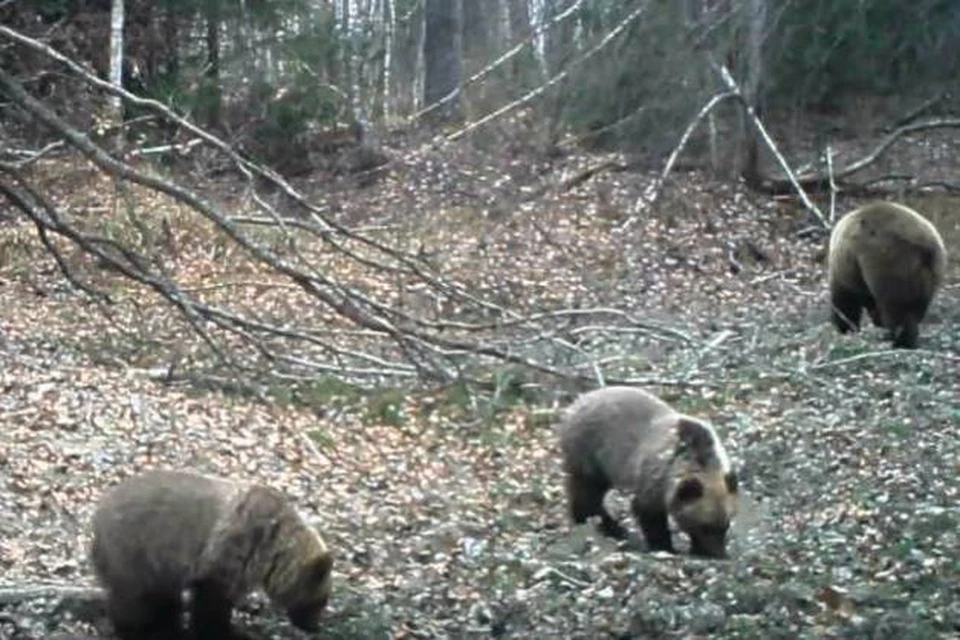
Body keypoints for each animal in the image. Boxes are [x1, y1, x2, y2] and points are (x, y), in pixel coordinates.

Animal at [88, 470, 334, 640]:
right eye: (321, 599)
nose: (315, 626)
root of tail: (97, 515)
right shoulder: (231, 549)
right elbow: (212, 601)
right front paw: (227, 632)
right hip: (136, 551)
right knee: (135, 600)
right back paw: (140, 630)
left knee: (163, 598)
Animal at [560, 384, 740, 560]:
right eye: (704, 526)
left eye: (725, 525)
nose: (718, 553)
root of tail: (577, 402)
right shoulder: (655, 476)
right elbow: (649, 513)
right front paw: (664, 546)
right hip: (589, 452)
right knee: (586, 491)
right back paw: (598, 524)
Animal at [828, 201, 948, 348]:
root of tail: (925, 246)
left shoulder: (846, 272)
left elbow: (845, 302)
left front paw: (846, 328)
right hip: (931, 272)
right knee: (915, 309)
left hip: (890, 262)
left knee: (897, 309)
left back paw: (899, 340)